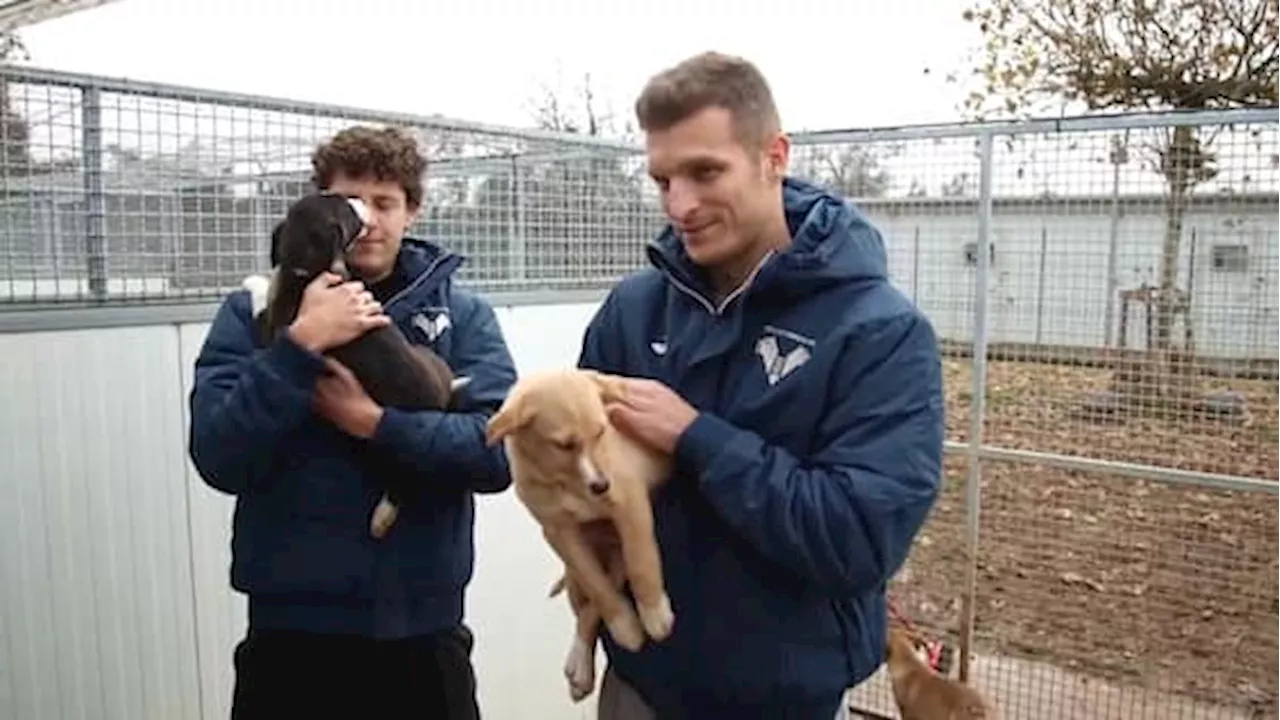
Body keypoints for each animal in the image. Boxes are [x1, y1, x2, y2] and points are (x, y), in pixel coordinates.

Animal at [240, 190, 471, 538]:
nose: (359, 201)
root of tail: (441, 396)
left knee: (403, 480)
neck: (309, 265)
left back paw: (381, 517)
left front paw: (254, 281)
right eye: (346, 206)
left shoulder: (274, 329)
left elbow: (262, 306)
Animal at [483, 366, 675, 696]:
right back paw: (583, 662)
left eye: (600, 432)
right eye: (564, 445)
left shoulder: (629, 503)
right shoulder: (558, 532)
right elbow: (597, 586)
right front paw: (624, 624)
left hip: (616, 551)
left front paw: (654, 614)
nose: (601, 486)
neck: (563, 483)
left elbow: (642, 561)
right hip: (576, 577)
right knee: (588, 606)